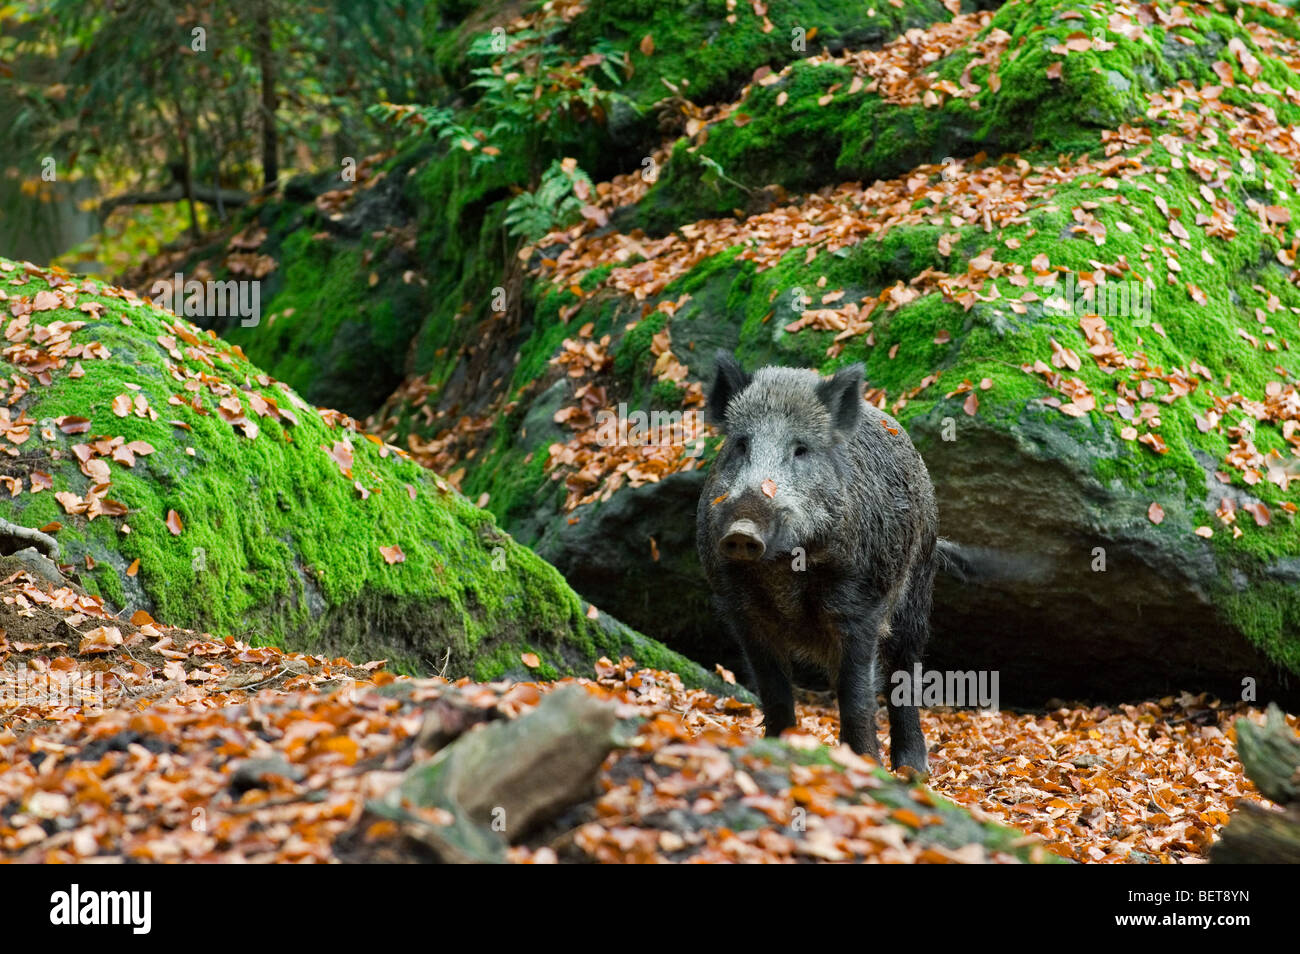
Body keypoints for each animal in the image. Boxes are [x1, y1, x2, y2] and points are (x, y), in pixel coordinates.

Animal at [696, 351, 938, 771]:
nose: (743, 529)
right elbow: (774, 690)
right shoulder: (742, 611)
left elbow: (856, 695)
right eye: (741, 445)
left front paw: (864, 765)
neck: (784, 573)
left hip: (918, 585)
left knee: (903, 670)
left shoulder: (861, 606)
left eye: (800, 450)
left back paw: (913, 770)